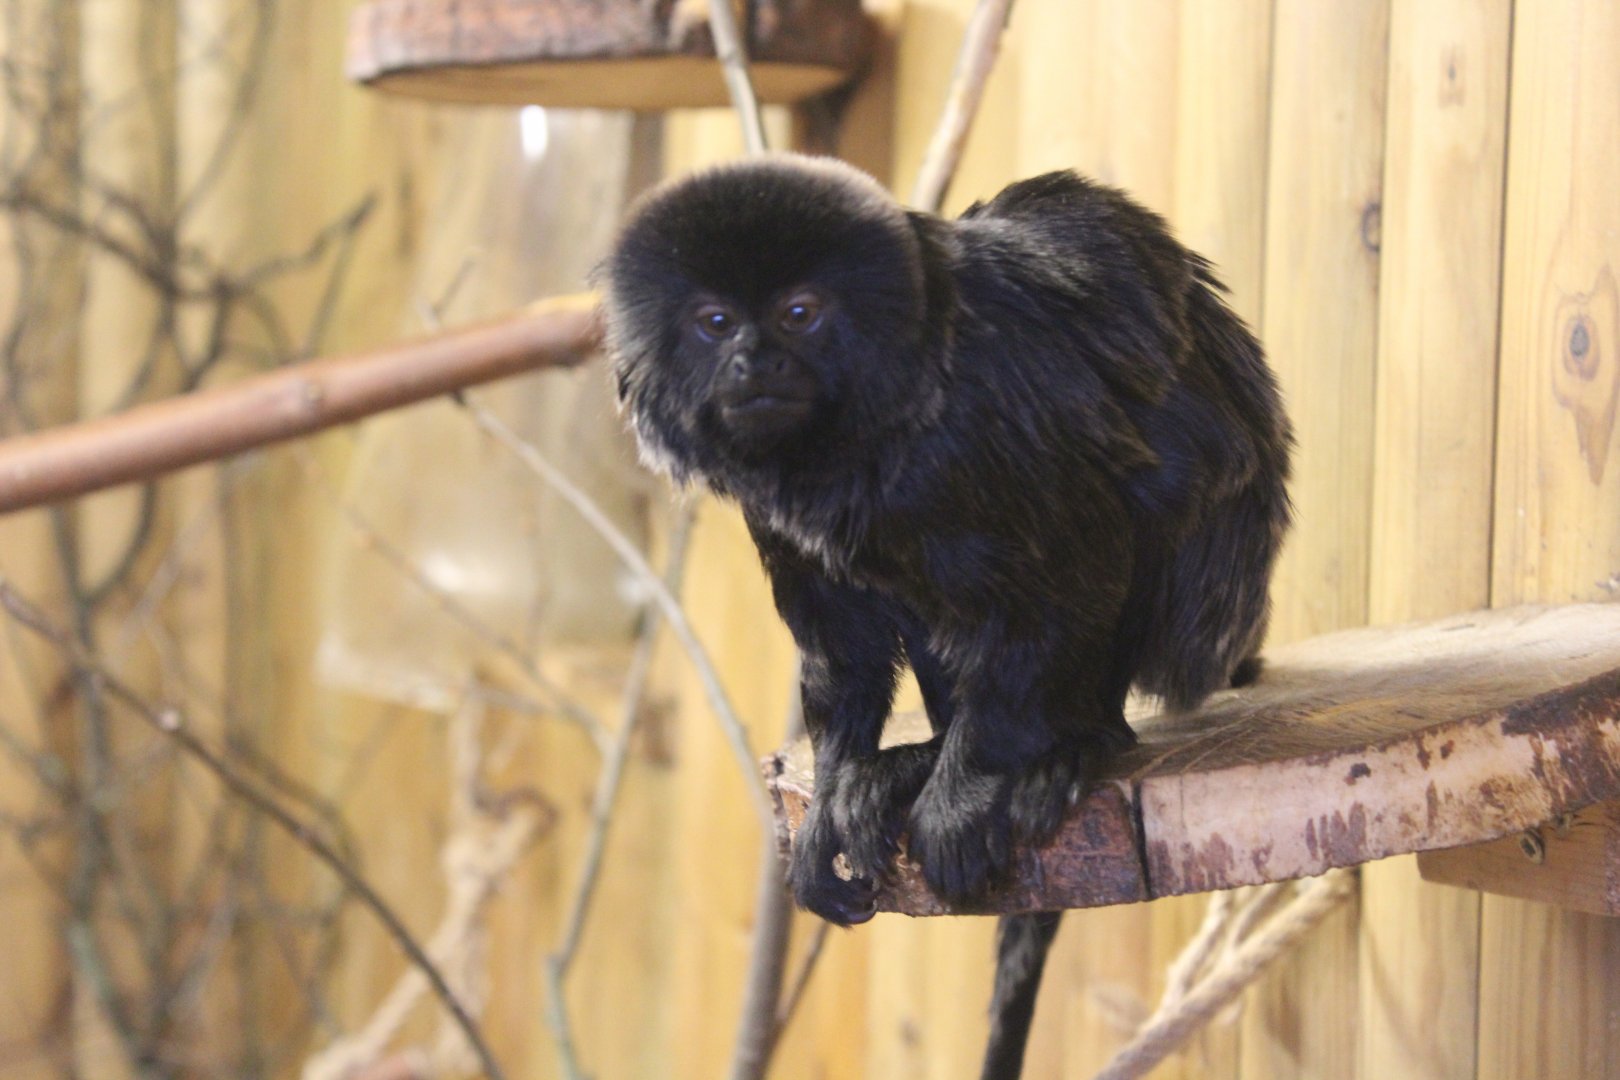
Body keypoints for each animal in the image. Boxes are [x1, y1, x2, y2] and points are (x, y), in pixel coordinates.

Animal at [600, 152, 1292, 1079]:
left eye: (798, 314)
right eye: (715, 323)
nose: (754, 361)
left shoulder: (978, 427)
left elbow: (1076, 561)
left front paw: (967, 792)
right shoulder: (774, 513)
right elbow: (844, 658)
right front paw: (836, 796)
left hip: (1211, 599)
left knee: (1167, 485)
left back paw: (1074, 744)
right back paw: (909, 762)